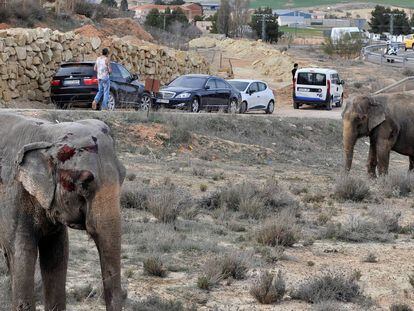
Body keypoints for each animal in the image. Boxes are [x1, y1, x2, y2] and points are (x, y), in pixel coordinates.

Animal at [0, 113, 126, 310]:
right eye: (84, 183)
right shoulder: (12, 195)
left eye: (124, 175)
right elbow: (22, 253)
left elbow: (57, 254)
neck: (48, 134)